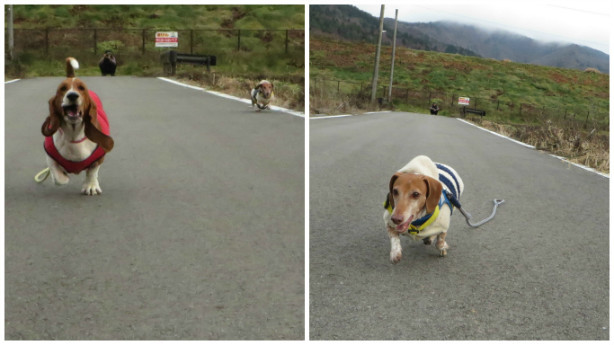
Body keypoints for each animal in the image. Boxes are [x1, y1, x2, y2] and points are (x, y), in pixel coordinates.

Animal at [41, 57, 115, 195]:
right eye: (63, 88)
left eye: (81, 88)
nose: (72, 95)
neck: (73, 135)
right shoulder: (50, 157)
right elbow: (59, 177)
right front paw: (62, 175)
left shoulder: (99, 158)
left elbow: (92, 171)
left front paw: (90, 185)